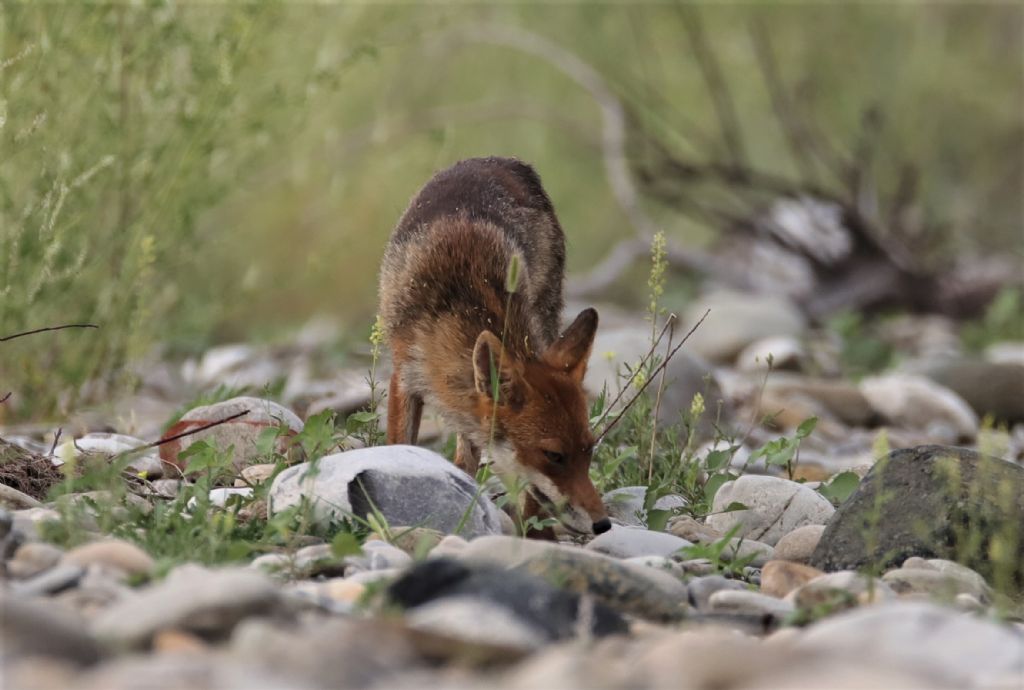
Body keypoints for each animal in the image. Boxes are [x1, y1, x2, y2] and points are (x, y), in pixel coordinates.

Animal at [380, 155, 610, 536]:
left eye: (589, 449)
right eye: (554, 456)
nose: (603, 524)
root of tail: (503, 161)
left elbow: (530, 499)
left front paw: (537, 540)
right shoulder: (404, 375)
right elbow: (398, 446)